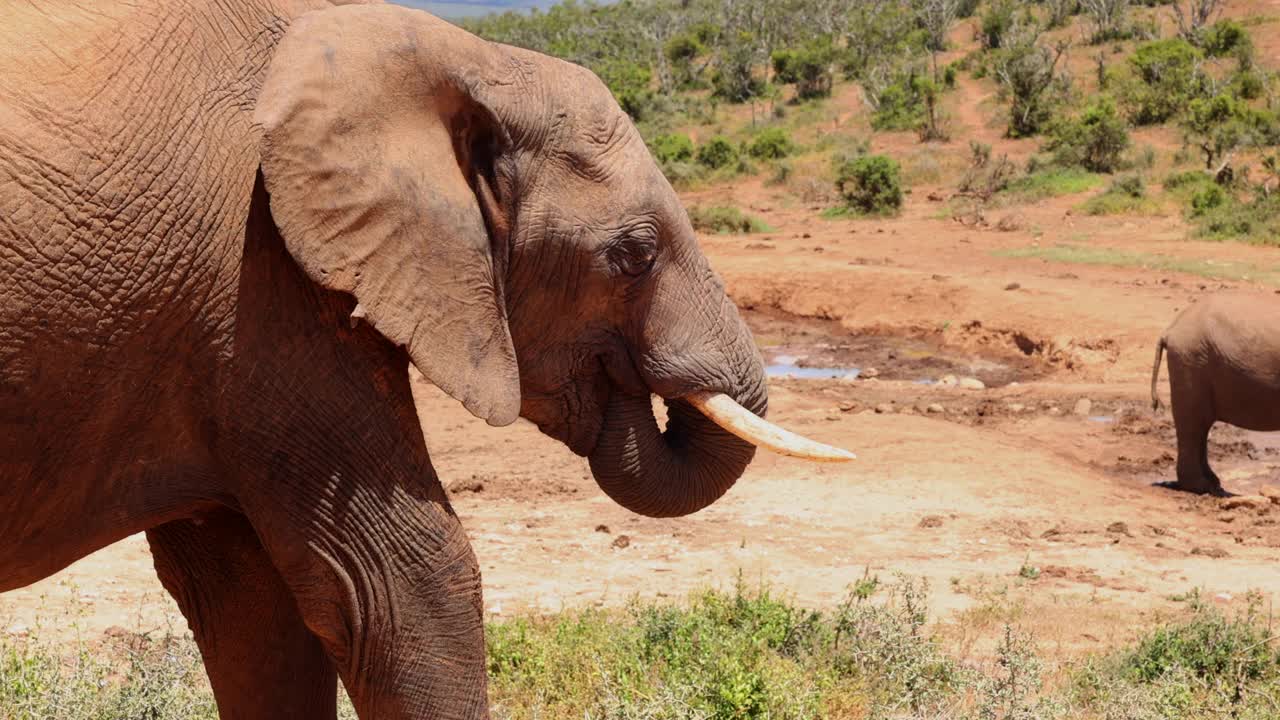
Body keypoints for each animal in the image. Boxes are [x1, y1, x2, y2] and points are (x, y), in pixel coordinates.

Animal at [1152, 292, 1280, 491]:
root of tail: (1170, 329)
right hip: (1191, 360)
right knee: (1193, 424)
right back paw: (1202, 487)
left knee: (1201, 425)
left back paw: (1212, 482)